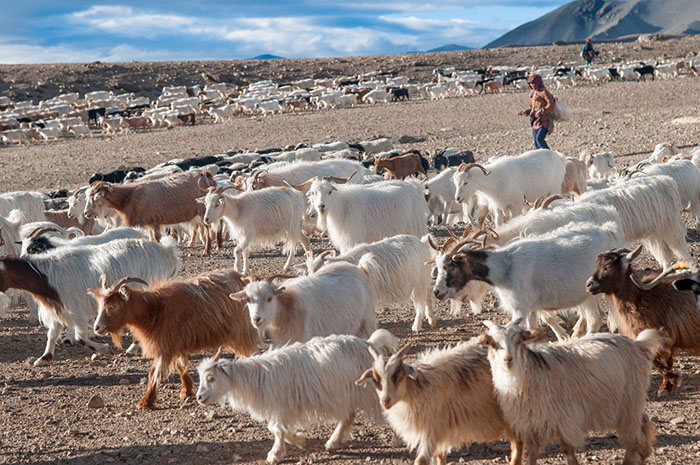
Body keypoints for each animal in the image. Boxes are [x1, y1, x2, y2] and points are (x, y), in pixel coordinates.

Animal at [86, 169, 215, 252]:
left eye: (95, 197)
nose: (86, 213)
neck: (128, 197)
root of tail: (206, 174)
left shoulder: (148, 222)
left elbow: (156, 238)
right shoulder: (153, 223)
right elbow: (154, 238)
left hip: (204, 210)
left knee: (207, 228)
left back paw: (207, 250)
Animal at [90, 270, 260, 408]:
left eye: (112, 306)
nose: (97, 327)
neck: (154, 309)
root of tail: (244, 280)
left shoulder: (165, 347)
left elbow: (154, 373)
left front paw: (145, 402)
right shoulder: (174, 344)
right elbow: (180, 366)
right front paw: (187, 391)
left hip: (241, 333)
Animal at [584, 245, 700, 394]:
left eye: (608, 266)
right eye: (597, 265)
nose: (589, 285)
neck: (641, 298)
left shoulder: (663, 335)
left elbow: (659, 360)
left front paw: (670, 382)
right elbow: (663, 361)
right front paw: (667, 384)